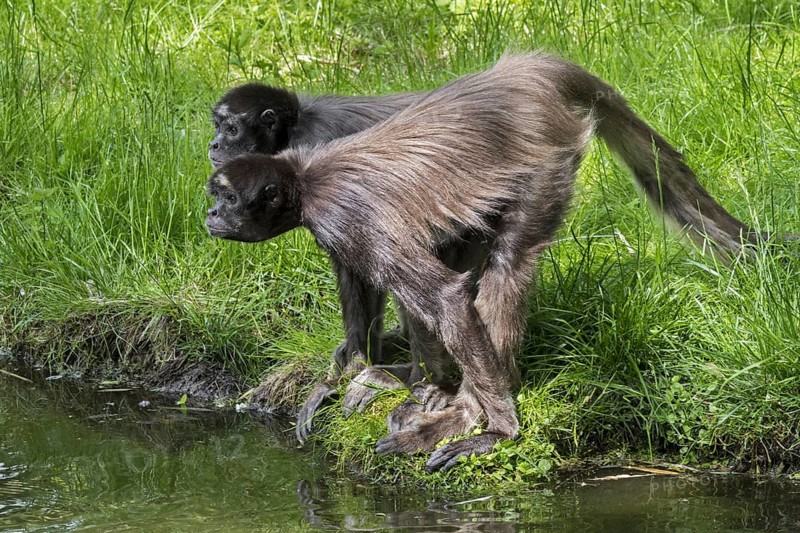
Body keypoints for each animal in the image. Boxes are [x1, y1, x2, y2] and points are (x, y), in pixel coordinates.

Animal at [206, 51, 769, 471]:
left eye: (227, 197)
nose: (210, 213)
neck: (304, 174)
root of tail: (519, 74)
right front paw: (381, 375)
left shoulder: (342, 213)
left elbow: (436, 293)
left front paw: (478, 418)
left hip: (544, 162)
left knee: (507, 261)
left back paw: (470, 409)